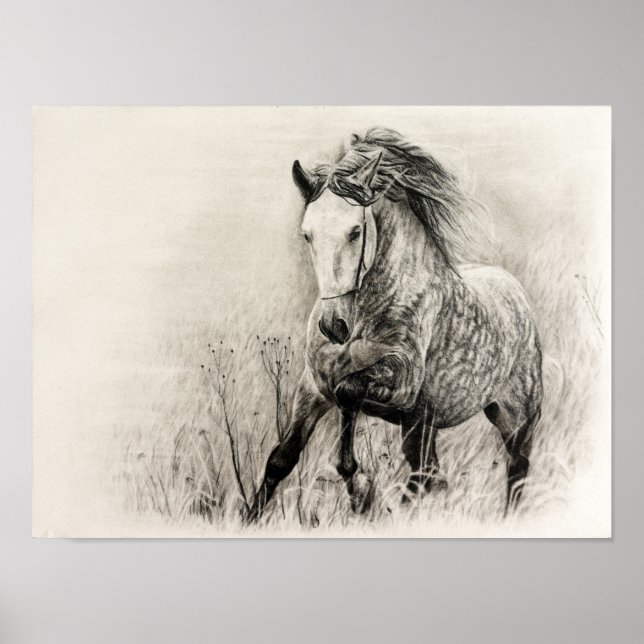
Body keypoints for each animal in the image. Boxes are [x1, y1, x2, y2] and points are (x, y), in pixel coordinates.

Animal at [247, 127, 543, 522]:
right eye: (306, 234)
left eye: (356, 231)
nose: (333, 325)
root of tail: (516, 292)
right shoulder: (313, 387)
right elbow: (282, 457)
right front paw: (248, 517)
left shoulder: (401, 381)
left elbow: (349, 392)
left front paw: (359, 490)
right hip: (422, 424)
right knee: (428, 472)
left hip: (515, 420)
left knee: (514, 472)